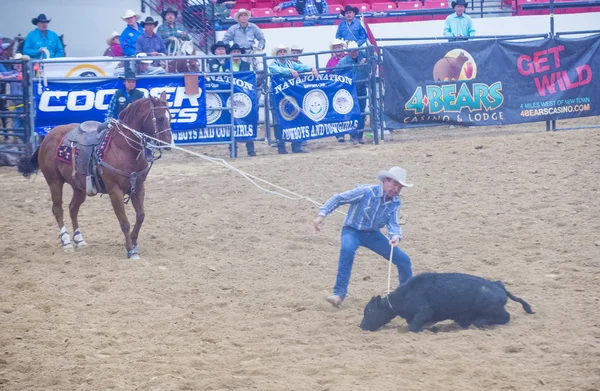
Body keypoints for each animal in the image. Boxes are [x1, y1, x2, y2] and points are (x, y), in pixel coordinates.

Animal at [17, 93, 171, 260]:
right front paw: (130, 250)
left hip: (79, 187)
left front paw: (134, 243)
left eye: (170, 116)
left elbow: (141, 216)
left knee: (73, 208)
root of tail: (47, 137)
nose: (168, 143)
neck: (123, 148)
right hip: (54, 182)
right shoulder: (114, 191)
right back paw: (66, 242)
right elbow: (124, 222)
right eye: (160, 118)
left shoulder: (138, 187)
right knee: (58, 209)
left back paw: (79, 239)